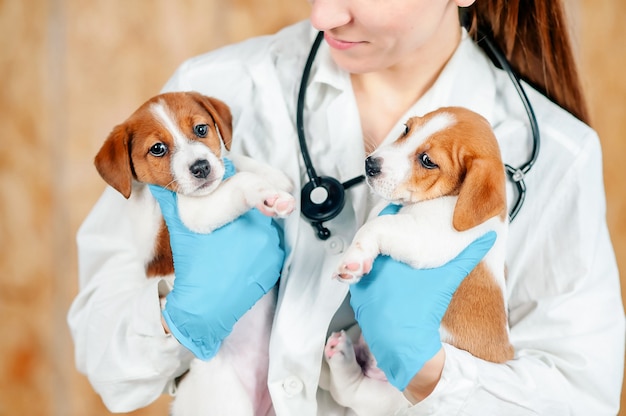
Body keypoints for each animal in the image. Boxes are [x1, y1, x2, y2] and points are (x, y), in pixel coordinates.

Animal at [94, 92, 294, 416]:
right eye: (158, 148)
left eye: (201, 129)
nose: (201, 167)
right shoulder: (192, 216)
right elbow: (238, 183)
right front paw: (269, 194)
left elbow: (231, 161)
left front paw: (274, 177)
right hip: (228, 400)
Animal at [324, 106, 510, 412]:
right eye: (406, 129)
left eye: (427, 161)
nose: (369, 164)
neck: (454, 199)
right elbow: (375, 218)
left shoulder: (424, 237)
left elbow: (375, 226)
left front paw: (355, 259)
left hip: (393, 395)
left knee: (350, 391)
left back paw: (341, 356)